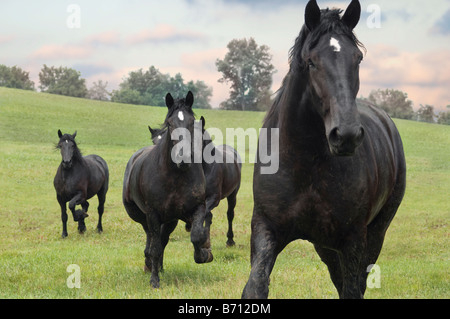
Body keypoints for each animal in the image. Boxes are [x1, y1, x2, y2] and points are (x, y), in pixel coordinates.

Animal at [123, 91, 213, 288]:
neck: (175, 176)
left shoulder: (197, 208)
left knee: (162, 239)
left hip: (170, 220)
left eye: (191, 122)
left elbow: (196, 235)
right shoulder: (153, 214)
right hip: (142, 216)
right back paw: (150, 265)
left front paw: (204, 254)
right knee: (151, 238)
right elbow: (155, 247)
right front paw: (154, 281)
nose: (184, 158)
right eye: (170, 124)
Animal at [243, 0, 408, 300]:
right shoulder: (266, 228)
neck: (304, 163)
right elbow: (256, 285)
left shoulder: (353, 241)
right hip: (326, 246)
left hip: (374, 234)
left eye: (358, 58)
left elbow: (353, 289)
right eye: (311, 62)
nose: (346, 135)